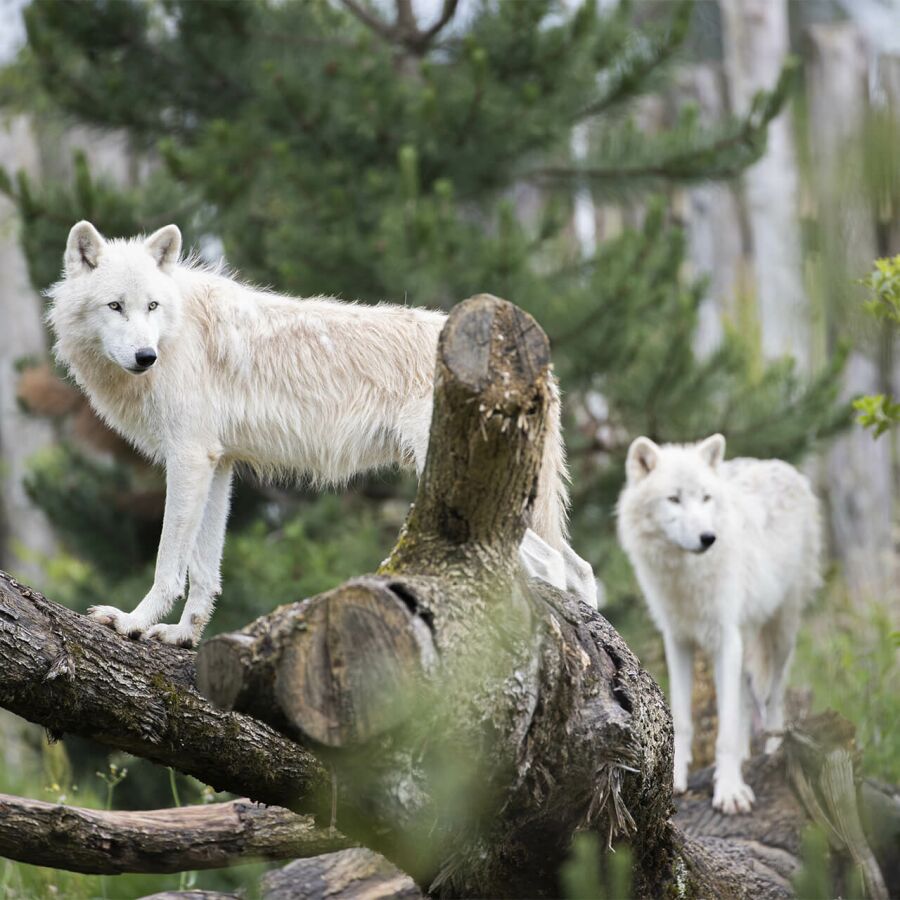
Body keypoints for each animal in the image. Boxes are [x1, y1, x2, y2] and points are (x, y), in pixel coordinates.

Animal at [47, 223, 596, 648]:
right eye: (115, 306)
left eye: (152, 306)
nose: (146, 356)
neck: (178, 333)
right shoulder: (217, 464)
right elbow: (204, 570)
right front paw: (182, 636)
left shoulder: (188, 458)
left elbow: (168, 564)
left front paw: (133, 623)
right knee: (582, 569)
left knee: (554, 567)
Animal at [620, 436, 824, 816]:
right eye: (674, 499)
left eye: (705, 498)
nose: (707, 537)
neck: (685, 576)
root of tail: (781, 465)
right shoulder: (678, 640)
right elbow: (684, 718)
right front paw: (678, 779)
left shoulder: (725, 638)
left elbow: (725, 729)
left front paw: (730, 791)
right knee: (744, 698)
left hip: (780, 633)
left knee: (773, 695)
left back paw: (773, 750)